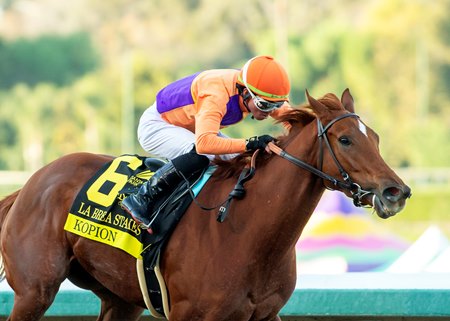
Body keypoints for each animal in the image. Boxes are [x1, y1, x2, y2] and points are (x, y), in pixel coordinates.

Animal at [0, 89, 412, 320]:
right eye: (345, 139)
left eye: (374, 137)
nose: (397, 191)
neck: (244, 231)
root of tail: (29, 186)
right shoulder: (189, 314)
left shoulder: (265, 315)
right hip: (34, 293)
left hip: (120, 299)